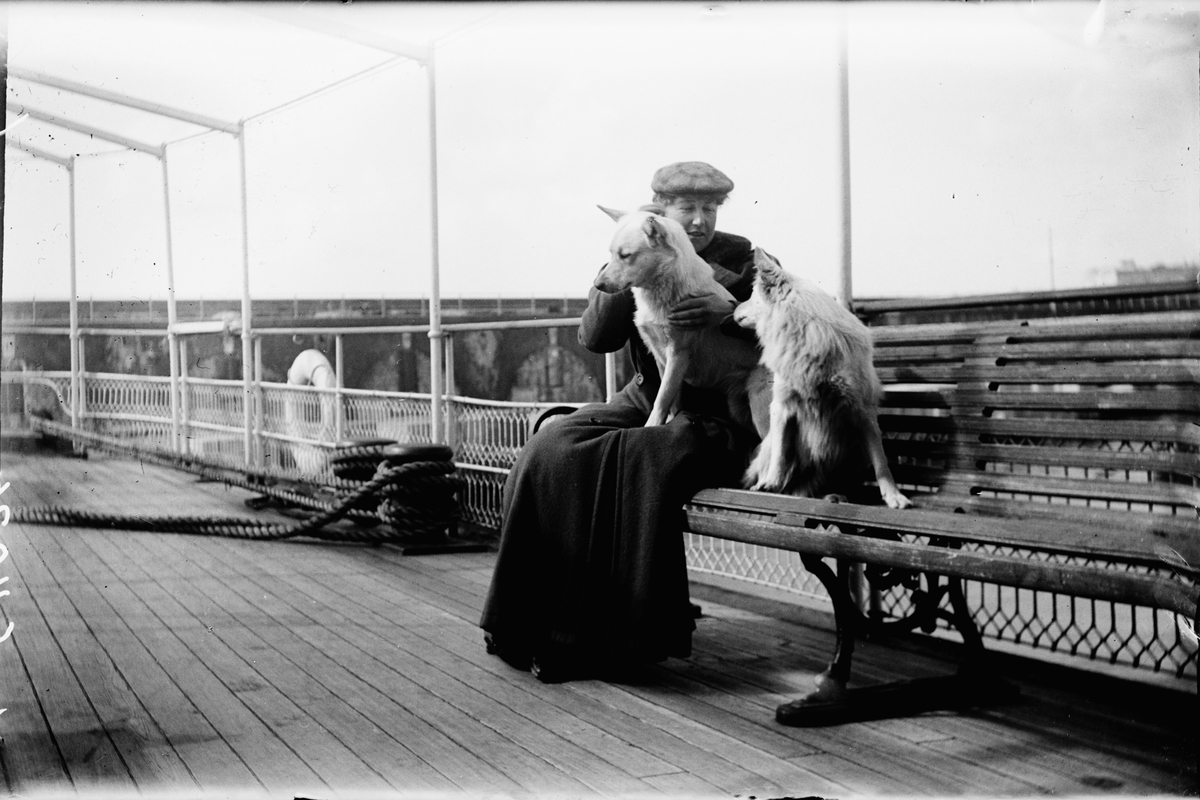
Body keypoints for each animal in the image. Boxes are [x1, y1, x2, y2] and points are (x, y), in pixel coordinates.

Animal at [593, 206, 771, 434]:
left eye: (625, 255)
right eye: (611, 254)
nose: (597, 285)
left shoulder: (677, 353)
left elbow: (661, 398)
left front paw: (651, 427)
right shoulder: (661, 356)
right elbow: (671, 399)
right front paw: (670, 421)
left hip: (762, 410)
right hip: (739, 410)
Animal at [732, 249, 912, 509]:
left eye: (751, 296)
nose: (733, 310)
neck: (803, 329)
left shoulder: (862, 410)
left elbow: (881, 461)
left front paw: (893, 495)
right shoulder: (781, 406)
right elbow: (781, 455)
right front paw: (771, 485)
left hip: (854, 451)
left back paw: (833, 495)